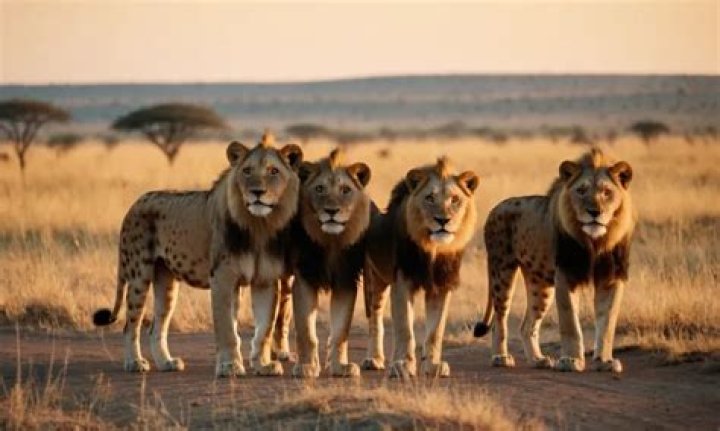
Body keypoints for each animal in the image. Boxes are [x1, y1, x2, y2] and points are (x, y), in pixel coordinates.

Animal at [92, 131, 303, 377]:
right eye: (247, 171)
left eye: (273, 171)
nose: (256, 192)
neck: (259, 225)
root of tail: (135, 203)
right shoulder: (222, 277)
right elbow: (227, 329)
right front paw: (230, 366)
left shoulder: (265, 280)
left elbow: (264, 329)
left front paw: (263, 365)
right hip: (138, 274)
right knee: (131, 325)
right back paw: (135, 362)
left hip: (166, 282)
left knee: (156, 327)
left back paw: (167, 363)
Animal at [289, 149, 373, 378]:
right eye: (319, 189)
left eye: (345, 190)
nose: (331, 211)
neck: (331, 240)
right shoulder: (304, 279)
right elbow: (306, 331)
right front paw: (307, 366)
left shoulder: (346, 281)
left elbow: (340, 331)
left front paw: (339, 367)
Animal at [362, 157, 479, 378]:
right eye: (430, 198)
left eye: (454, 199)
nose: (443, 220)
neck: (432, 248)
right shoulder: (402, 281)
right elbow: (405, 328)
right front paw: (403, 365)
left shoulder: (441, 286)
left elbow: (436, 330)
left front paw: (433, 365)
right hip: (375, 280)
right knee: (375, 319)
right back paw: (375, 359)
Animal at [473, 147, 635, 373]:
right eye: (581, 191)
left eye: (607, 192)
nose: (594, 212)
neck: (595, 241)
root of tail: (495, 207)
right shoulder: (566, 273)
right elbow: (570, 322)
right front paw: (571, 360)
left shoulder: (612, 277)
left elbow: (607, 322)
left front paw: (604, 361)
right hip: (502, 270)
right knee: (499, 320)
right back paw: (501, 357)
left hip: (540, 284)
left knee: (526, 326)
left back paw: (537, 359)